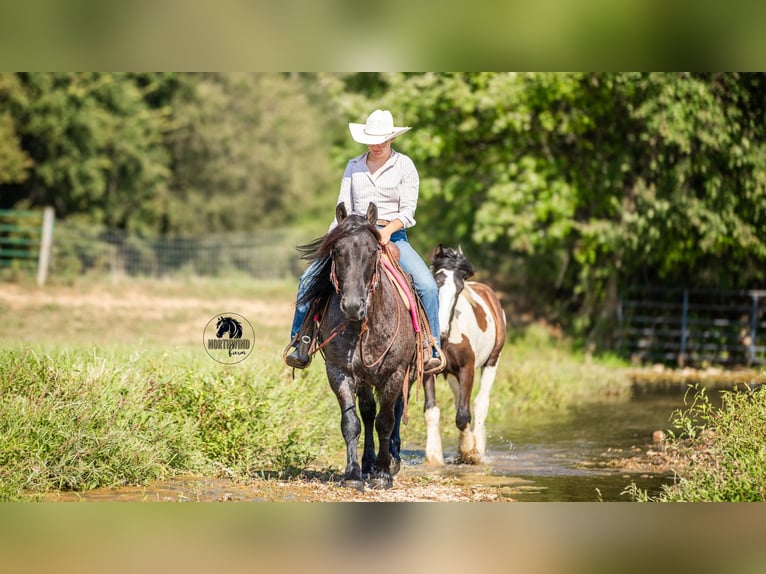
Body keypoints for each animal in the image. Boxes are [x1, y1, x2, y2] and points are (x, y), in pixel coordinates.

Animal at [299, 202, 418, 490]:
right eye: (336, 250)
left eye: (372, 250)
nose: (353, 306)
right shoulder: (340, 372)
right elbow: (352, 422)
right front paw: (353, 474)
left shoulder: (394, 373)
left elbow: (386, 421)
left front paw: (383, 474)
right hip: (365, 378)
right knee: (367, 412)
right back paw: (367, 463)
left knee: (395, 411)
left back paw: (391, 461)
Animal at [424, 244, 506, 464]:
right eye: (436, 281)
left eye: (459, 288)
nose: (441, 330)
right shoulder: (430, 369)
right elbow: (432, 412)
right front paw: (433, 458)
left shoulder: (467, 368)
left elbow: (463, 416)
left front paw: (470, 452)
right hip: (451, 374)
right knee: (461, 401)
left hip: (492, 361)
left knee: (480, 404)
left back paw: (477, 448)